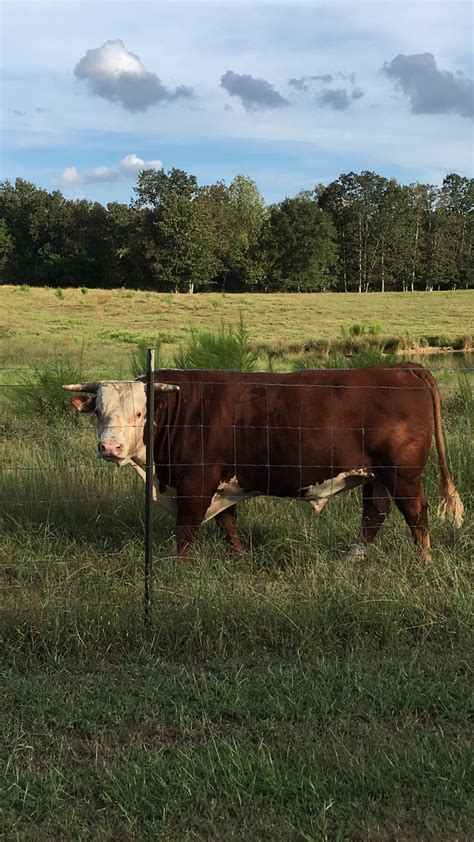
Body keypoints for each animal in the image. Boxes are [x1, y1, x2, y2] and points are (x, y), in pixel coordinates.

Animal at [64, 364, 462, 560]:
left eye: (140, 412)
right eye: (98, 411)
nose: (110, 447)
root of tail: (403, 368)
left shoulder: (196, 484)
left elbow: (186, 533)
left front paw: (178, 569)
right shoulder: (222, 485)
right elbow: (228, 525)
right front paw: (240, 561)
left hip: (402, 474)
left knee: (415, 513)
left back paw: (423, 562)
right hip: (377, 475)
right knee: (375, 512)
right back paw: (354, 558)